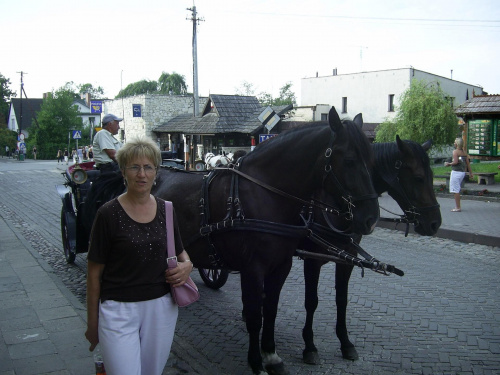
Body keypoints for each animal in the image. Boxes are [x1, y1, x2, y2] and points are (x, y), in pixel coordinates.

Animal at [152, 107, 378, 374]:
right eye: (350, 161)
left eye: (371, 160)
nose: (372, 218)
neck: (265, 195)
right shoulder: (253, 269)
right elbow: (254, 316)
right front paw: (256, 362)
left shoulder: (281, 266)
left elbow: (270, 310)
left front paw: (271, 355)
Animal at [300, 137, 442, 366]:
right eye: (419, 178)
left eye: (431, 176)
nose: (435, 223)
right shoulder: (311, 260)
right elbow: (311, 301)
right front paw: (310, 346)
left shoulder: (347, 258)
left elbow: (342, 300)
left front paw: (345, 342)